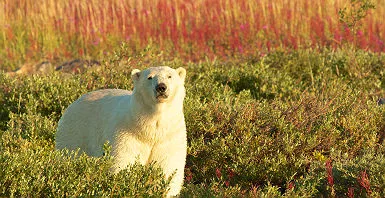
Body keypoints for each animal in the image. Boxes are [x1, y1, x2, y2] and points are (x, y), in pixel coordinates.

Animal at [56, 65, 188, 196]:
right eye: (150, 77)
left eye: (169, 76)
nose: (161, 87)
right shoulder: (127, 134)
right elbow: (124, 162)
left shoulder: (170, 136)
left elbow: (168, 166)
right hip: (76, 132)